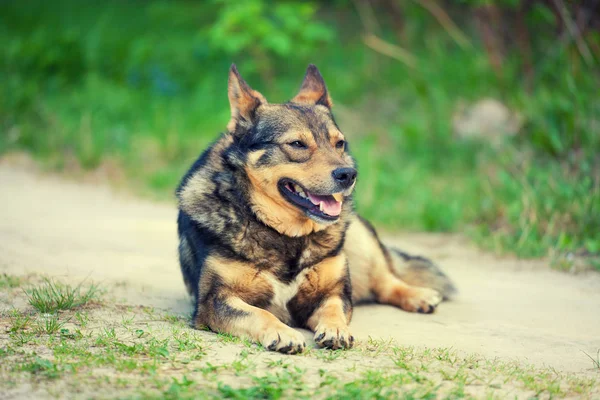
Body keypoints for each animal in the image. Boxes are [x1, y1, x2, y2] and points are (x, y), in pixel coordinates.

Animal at [176, 64, 458, 354]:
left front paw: (336, 330)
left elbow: (333, 310)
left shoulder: (332, 293)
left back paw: (418, 295)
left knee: (385, 280)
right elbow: (259, 313)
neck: (287, 236)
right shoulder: (214, 301)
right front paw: (283, 333)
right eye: (297, 144)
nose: (349, 174)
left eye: (339, 143)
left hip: (361, 240)